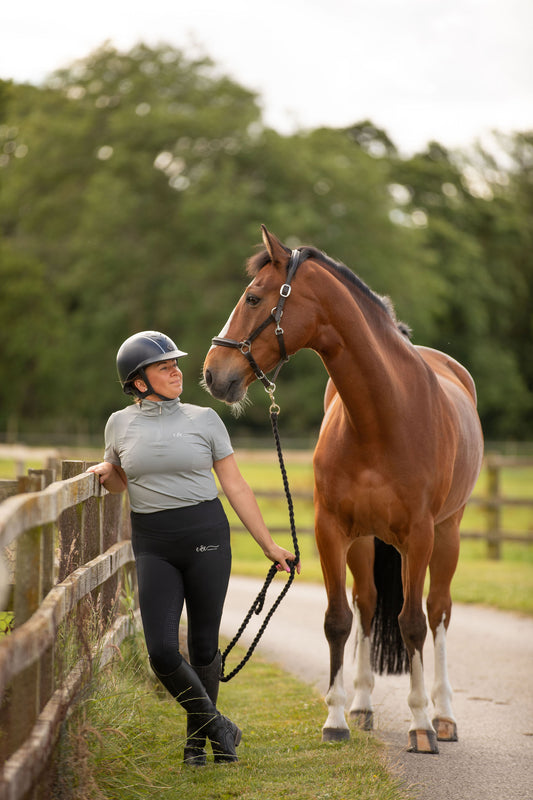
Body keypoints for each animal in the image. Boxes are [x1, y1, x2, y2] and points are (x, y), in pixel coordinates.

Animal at [203, 227, 482, 756]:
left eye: (253, 297)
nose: (213, 373)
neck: (383, 416)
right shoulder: (331, 531)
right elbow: (338, 619)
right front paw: (335, 718)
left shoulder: (419, 536)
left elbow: (413, 623)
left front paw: (420, 725)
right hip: (366, 542)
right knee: (368, 605)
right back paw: (363, 705)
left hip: (447, 535)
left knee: (437, 613)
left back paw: (444, 715)